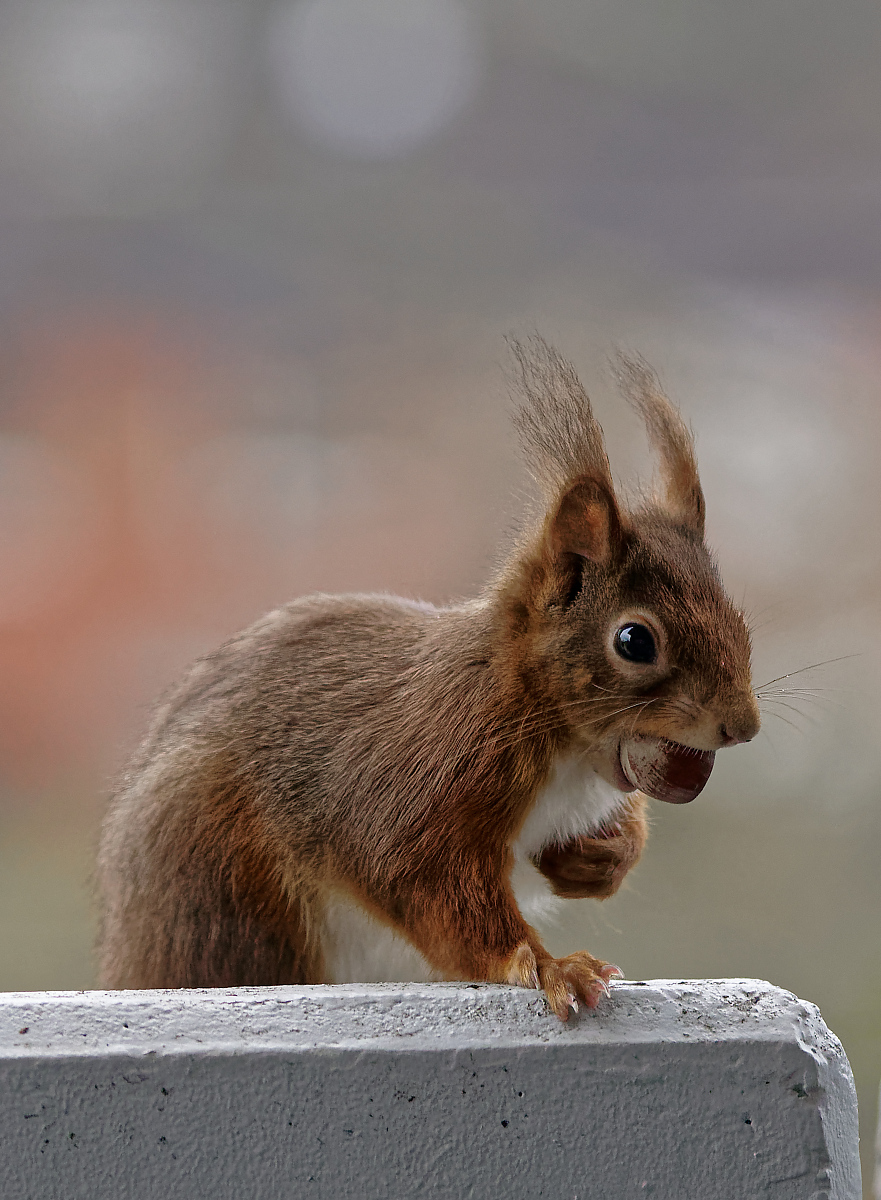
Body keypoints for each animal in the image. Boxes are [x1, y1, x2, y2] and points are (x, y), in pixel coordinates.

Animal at [94, 340, 758, 1022]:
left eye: (739, 621)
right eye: (634, 641)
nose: (743, 726)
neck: (565, 743)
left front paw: (600, 859)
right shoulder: (431, 770)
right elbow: (420, 879)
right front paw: (549, 966)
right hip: (223, 897)